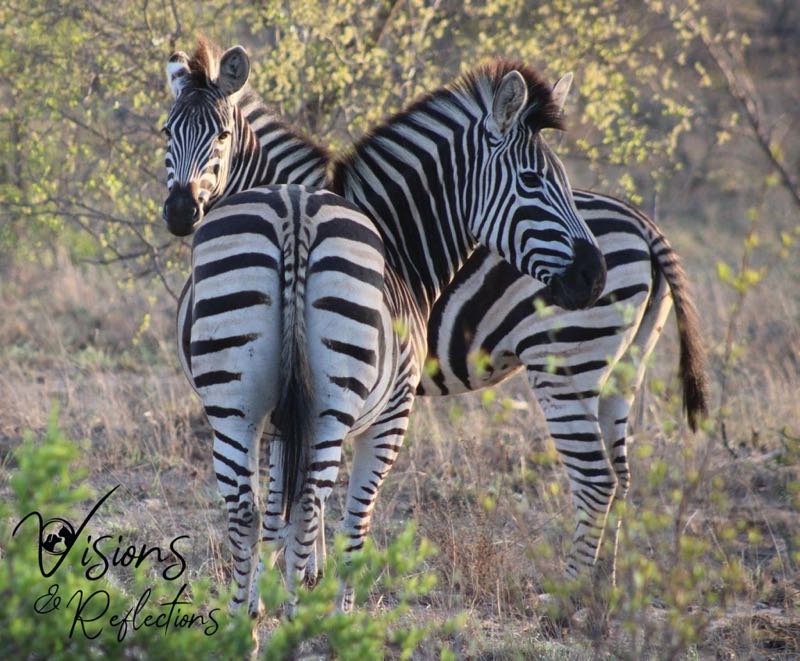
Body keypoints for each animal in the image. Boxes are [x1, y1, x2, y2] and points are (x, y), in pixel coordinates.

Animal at [165, 41, 707, 601]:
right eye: (167, 133)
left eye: (221, 136)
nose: (180, 211)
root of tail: (642, 223)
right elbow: (289, 499)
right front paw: (297, 578)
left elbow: (293, 501)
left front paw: (297, 582)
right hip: (620, 370)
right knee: (620, 476)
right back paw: (609, 591)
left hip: (566, 365)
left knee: (597, 480)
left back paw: (569, 596)